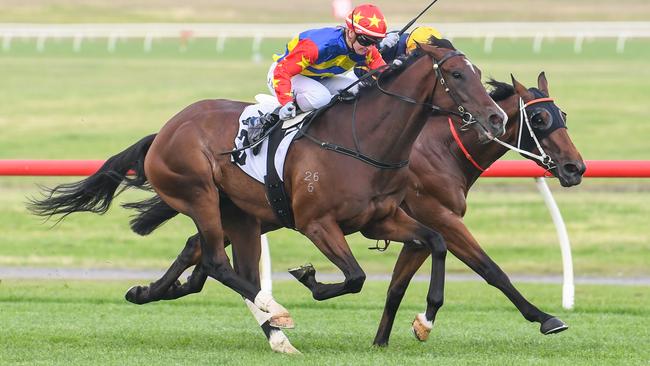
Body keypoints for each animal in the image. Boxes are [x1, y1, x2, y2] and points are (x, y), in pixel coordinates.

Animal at [27, 38, 506, 350]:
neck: (362, 141)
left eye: (481, 74)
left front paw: (425, 320)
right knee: (218, 263)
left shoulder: (381, 218)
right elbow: (354, 277)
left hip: (239, 213)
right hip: (200, 194)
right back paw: (274, 312)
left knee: (217, 260)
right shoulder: (317, 223)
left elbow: (436, 242)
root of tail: (166, 130)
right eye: (457, 74)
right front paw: (309, 279)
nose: (496, 118)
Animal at [115, 72, 584, 352]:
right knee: (209, 257)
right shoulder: (440, 218)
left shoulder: (408, 226)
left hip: (247, 215)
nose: (575, 168)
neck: (439, 148)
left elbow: (397, 284)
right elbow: (491, 270)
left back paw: (153, 292)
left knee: (198, 252)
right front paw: (544, 318)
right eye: (540, 119)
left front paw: (386, 338)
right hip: (230, 207)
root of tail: (170, 130)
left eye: (563, 114)